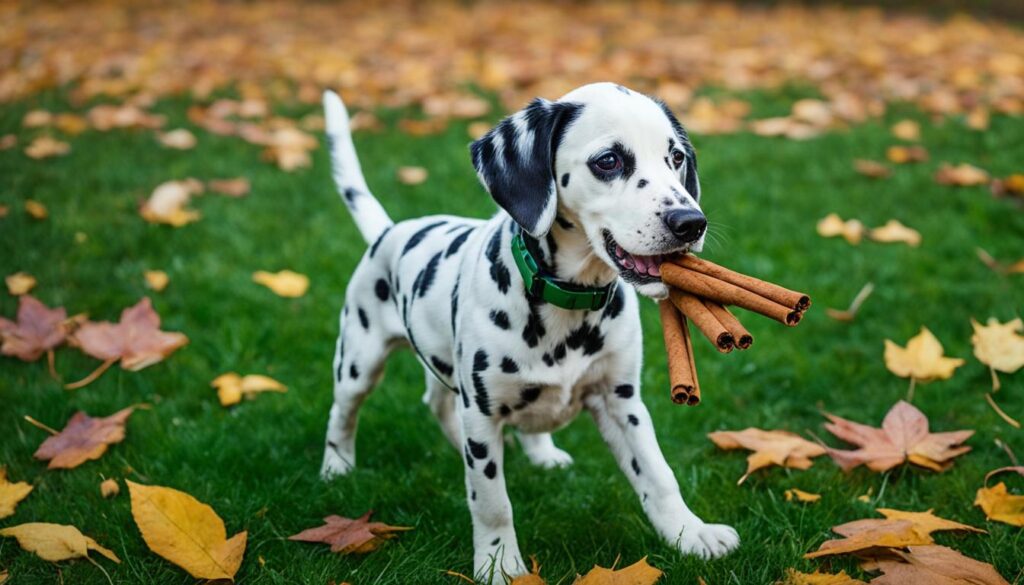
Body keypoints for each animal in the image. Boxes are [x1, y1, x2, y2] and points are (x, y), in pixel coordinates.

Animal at [317, 82, 737, 581]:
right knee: (344, 413)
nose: (690, 222)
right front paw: (499, 562)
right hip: (358, 360)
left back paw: (536, 452)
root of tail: (390, 232)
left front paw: (690, 533)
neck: (568, 304)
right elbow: (491, 501)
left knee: (444, 403)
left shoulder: (622, 401)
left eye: (675, 157)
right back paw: (337, 466)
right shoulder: (481, 411)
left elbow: (658, 474)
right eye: (609, 160)